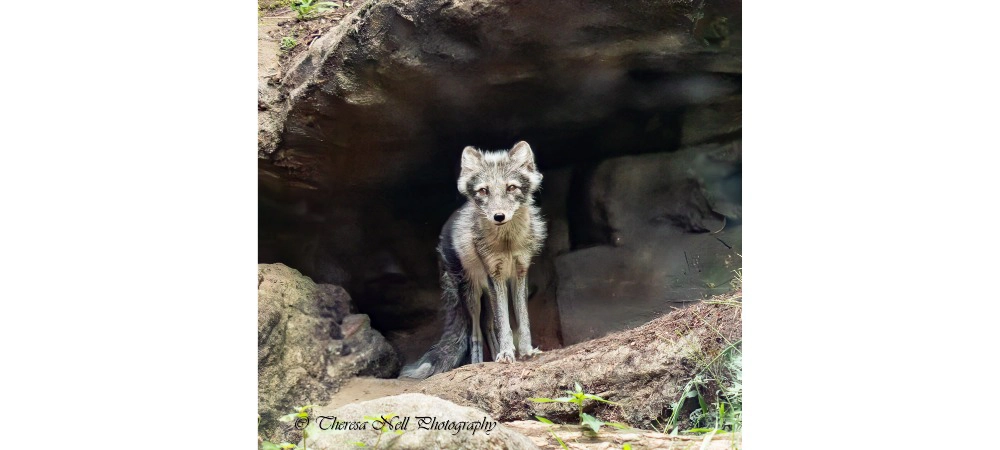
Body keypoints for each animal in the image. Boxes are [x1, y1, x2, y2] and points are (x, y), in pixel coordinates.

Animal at [400, 141, 547, 379]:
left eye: (511, 188)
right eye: (483, 190)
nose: (499, 216)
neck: (507, 244)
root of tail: (445, 231)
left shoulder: (520, 273)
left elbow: (522, 321)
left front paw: (525, 351)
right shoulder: (495, 276)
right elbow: (504, 324)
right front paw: (507, 353)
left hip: (485, 295)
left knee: (487, 328)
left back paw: (494, 356)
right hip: (472, 296)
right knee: (474, 333)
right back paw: (477, 363)